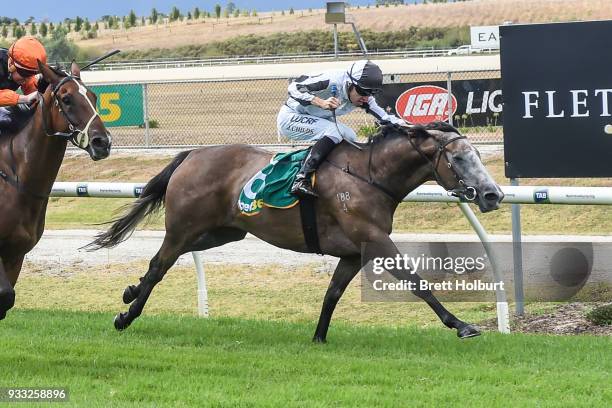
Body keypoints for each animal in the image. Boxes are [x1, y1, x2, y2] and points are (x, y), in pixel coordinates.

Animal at [0, 62, 112, 320]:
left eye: (93, 96)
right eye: (67, 98)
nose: (103, 142)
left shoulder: (15, 255)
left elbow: (7, 299)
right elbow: (4, 296)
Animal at [89, 122, 502, 342]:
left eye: (478, 156)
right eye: (459, 158)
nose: (493, 194)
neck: (369, 176)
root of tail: (192, 154)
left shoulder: (354, 251)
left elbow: (332, 293)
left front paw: (319, 337)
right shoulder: (374, 240)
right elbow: (418, 284)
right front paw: (461, 325)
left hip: (225, 231)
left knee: (160, 261)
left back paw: (130, 291)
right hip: (184, 227)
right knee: (160, 264)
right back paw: (127, 315)